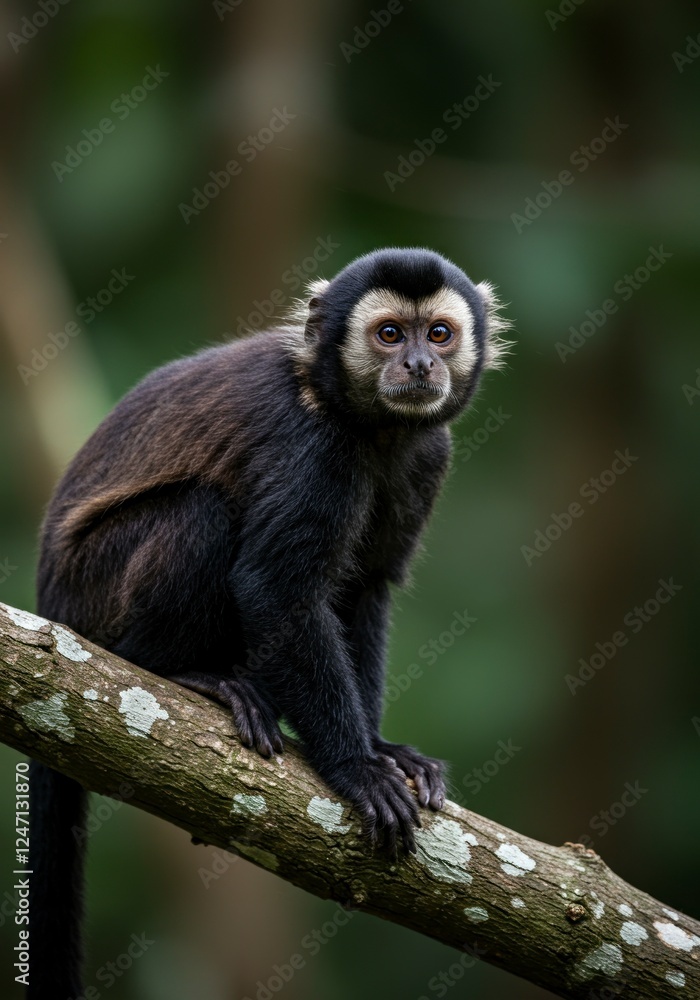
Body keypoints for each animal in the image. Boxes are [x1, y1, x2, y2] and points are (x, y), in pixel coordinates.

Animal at [28, 247, 511, 998]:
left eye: (438, 335)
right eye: (389, 336)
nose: (418, 365)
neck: (358, 418)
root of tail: (51, 605)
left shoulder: (431, 454)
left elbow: (363, 591)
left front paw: (382, 748)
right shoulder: (311, 445)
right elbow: (279, 592)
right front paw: (355, 768)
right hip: (92, 596)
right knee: (201, 514)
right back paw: (180, 672)